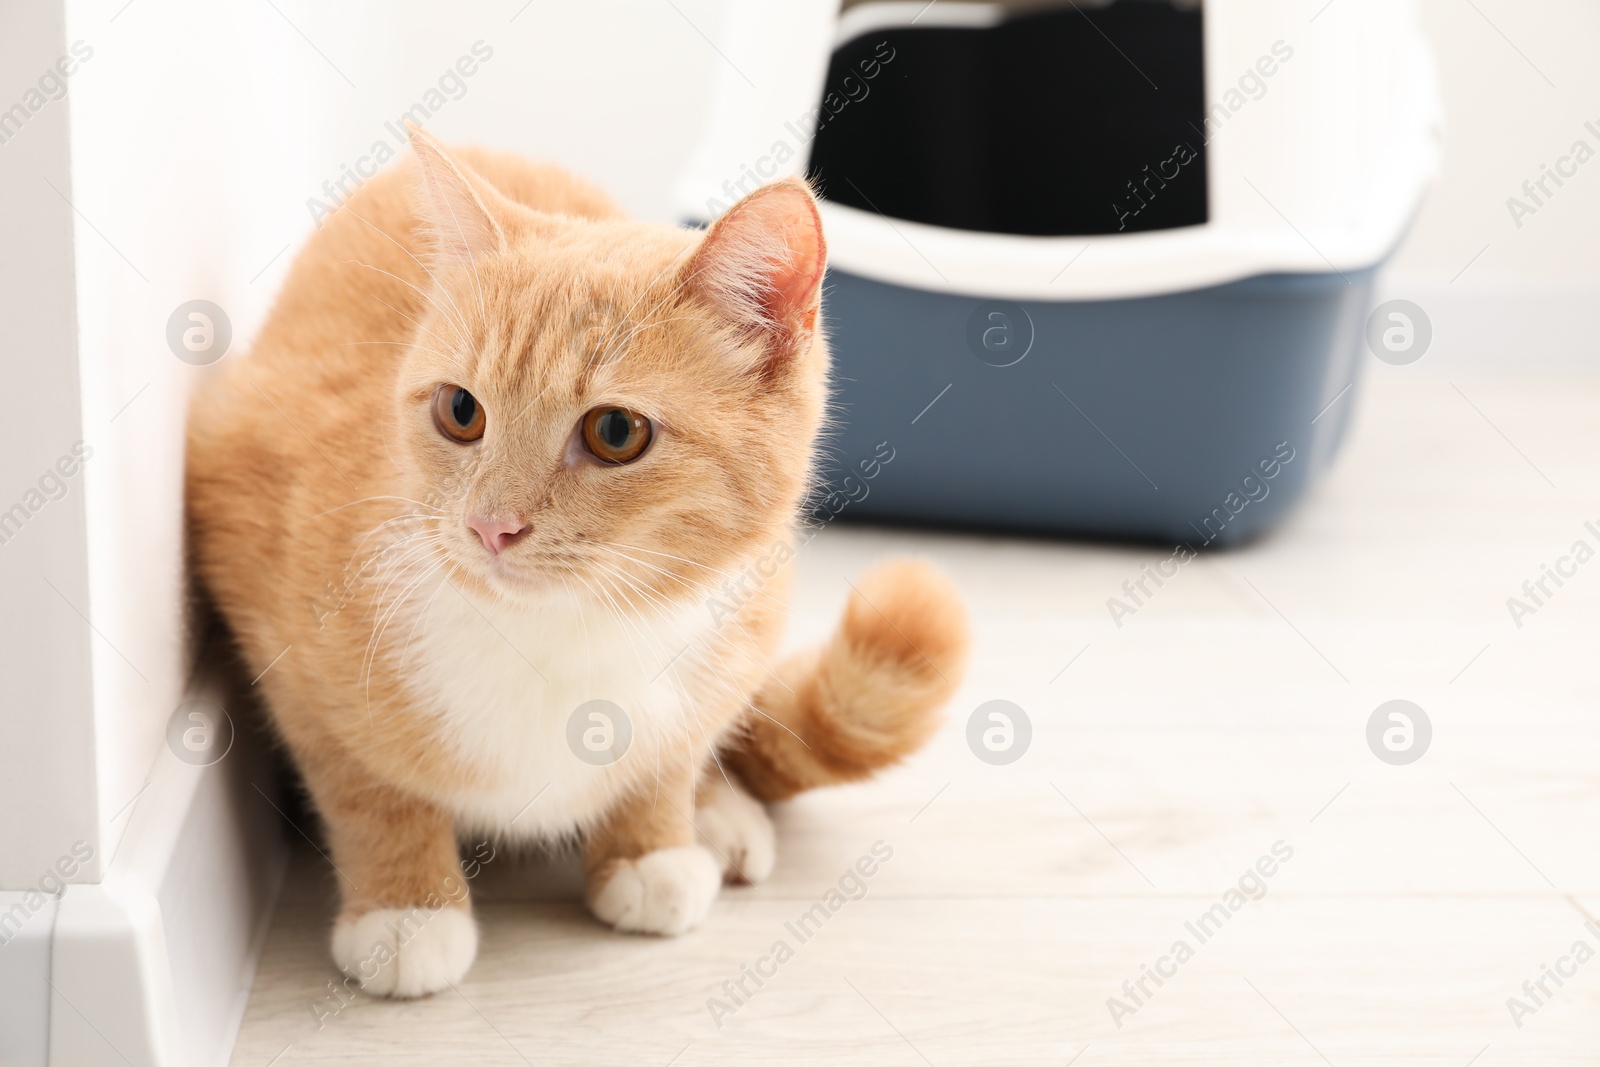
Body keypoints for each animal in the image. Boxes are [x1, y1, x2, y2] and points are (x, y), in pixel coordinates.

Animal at [183, 129, 966, 998]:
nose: (491, 525)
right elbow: (363, 782)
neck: (566, 632)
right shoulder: (261, 567)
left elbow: (673, 753)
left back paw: (718, 813)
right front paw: (407, 905)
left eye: (615, 431)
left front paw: (653, 844)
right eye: (460, 411)